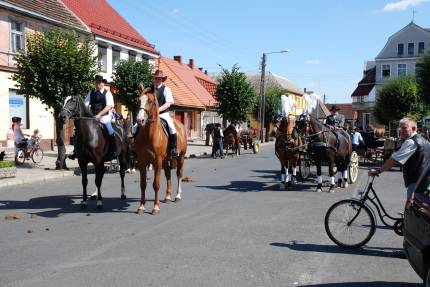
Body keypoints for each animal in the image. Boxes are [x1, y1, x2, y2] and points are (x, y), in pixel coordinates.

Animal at [135, 84, 187, 215]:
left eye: (150, 101)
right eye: (139, 100)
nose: (139, 120)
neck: (149, 134)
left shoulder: (157, 161)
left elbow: (156, 184)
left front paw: (155, 207)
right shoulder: (142, 162)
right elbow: (143, 184)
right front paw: (141, 207)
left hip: (180, 157)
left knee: (179, 174)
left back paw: (177, 196)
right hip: (165, 160)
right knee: (168, 174)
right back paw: (168, 196)